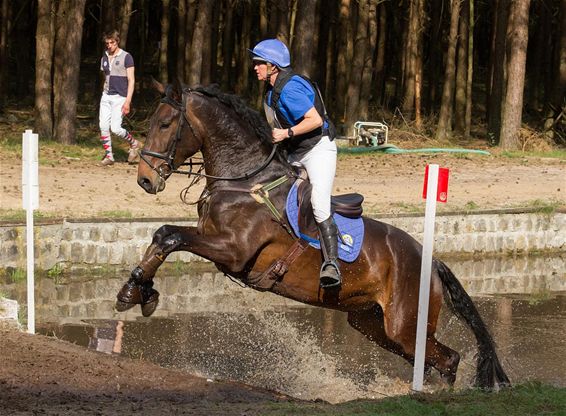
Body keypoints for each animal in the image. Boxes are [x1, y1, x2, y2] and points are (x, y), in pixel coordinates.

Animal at [115, 81, 510, 390]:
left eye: (166, 123)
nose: (145, 180)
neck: (244, 178)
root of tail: (432, 259)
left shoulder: (233, 251)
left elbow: (169, 236)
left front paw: (137, 292)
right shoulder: (210, 237)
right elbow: (163, 234)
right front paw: (134, 291)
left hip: (404, 325)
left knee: (449, 358)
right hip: (372, 324)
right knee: (433, 358)